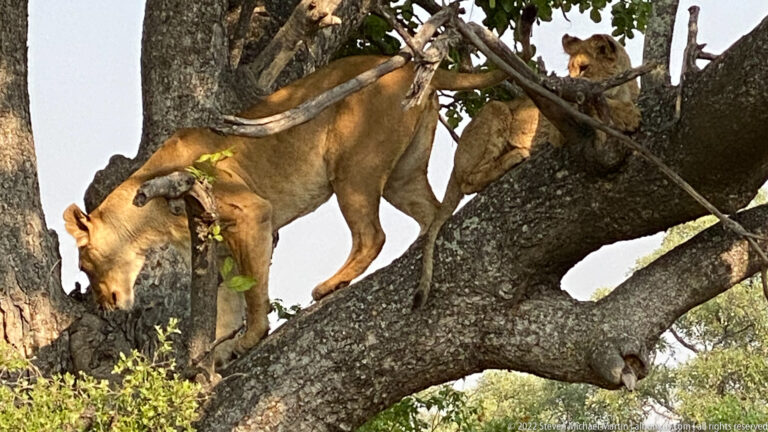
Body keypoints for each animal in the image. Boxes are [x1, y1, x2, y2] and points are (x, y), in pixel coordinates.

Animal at [63, 55, 507, 358]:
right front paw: (217, 358)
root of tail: (407, 62)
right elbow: (226, 306)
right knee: (433, 213)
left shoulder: (251, 213)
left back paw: (330, 285)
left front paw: (250, 338)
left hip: (352, 169)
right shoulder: (220, 249)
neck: (148, 210)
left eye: (85, 266)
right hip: (403, 175)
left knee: (372, 235)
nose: (103, 304)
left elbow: (254, 290)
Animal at [415, 34, 641, 307]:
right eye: (570, 71)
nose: (566, 91)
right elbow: (602, 110)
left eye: (584, 68)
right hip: (496, 109)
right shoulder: (560, 133)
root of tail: (456, 163)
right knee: (469, 181)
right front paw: (629, 115)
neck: (622, 90)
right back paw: (516, 157)